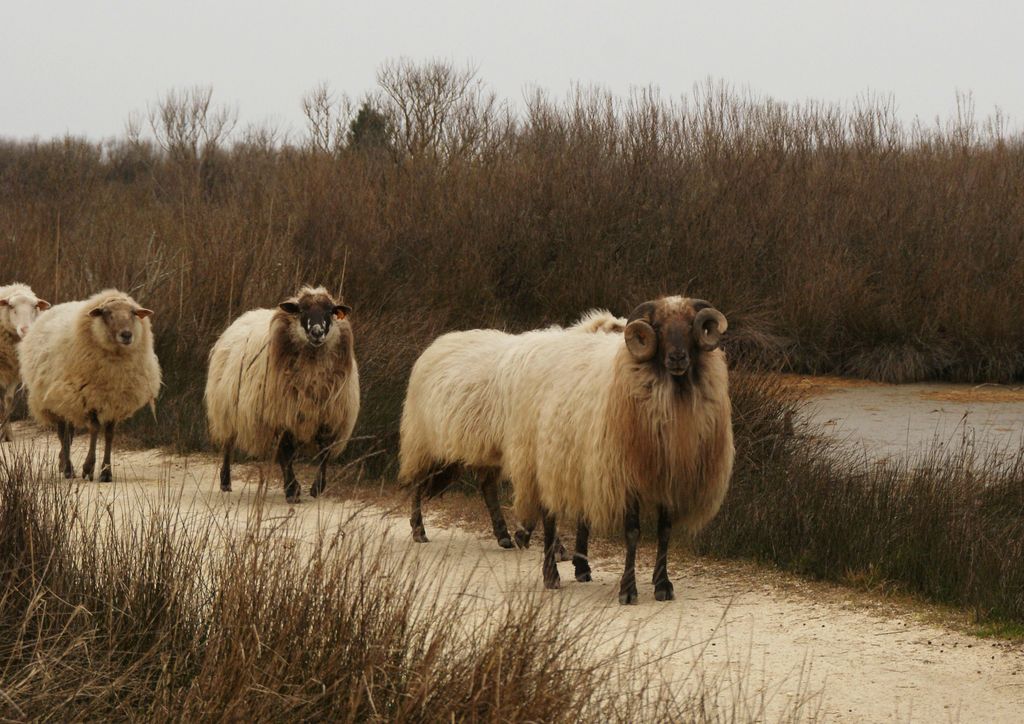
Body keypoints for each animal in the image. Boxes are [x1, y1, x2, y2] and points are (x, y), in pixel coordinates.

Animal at [0, 282, 50, 442]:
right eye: (11, 306)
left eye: (35, 306)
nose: (25, 329)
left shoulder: (13, 372)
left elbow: (8, 401)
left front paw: (7, 434)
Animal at [17, 286, 159, 481]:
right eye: (107, 313)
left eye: (133, 313)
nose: (127, 335)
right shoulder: (87, 396)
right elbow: (94, 428)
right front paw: (88, 467)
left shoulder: (115, 400)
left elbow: (109, 434)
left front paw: (106, 472)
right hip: (57, 399)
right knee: (62, 433)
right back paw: (67, 468)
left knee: (69, 433)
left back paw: (64, 463)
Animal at [203, 286, 360, 501]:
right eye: (301, 310)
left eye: (330, 311)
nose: (317, 332)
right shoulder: (278, 416)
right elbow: (285, 454)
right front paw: (292, 490)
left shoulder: (328, 418)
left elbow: (324, 453)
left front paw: (317, 488)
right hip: (226, 408)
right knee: (228, 444)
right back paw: (225, 481)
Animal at [395, 296, 733, 602]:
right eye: (658, 328)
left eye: (691, 326)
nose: (677, 358)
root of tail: (437, 343)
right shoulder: (614, 473)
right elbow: (630, 531)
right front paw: (625, 588)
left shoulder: (659, 476)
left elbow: (662, 531)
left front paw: (659, 584)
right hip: (432, 443)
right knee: (420, 484)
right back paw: (422, 531)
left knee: (488, 488)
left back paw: (507, 537)